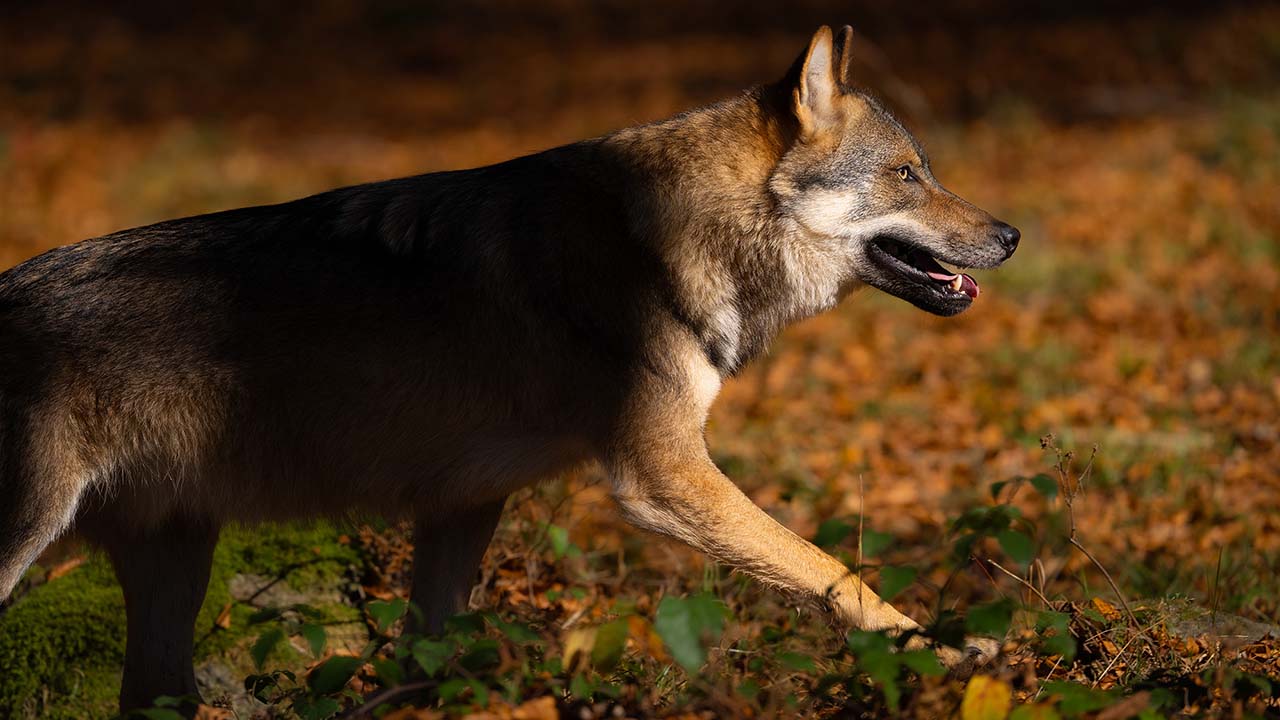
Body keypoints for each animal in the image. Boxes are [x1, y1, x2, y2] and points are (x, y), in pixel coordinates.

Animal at [0, 26, 1018, 710]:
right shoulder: (661, 475)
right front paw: (951, 659)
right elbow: (830, 569)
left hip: (176, 573)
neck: (665, 239)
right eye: (907, 172)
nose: (1011, 234)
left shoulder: (463, 502)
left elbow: (427, 654)